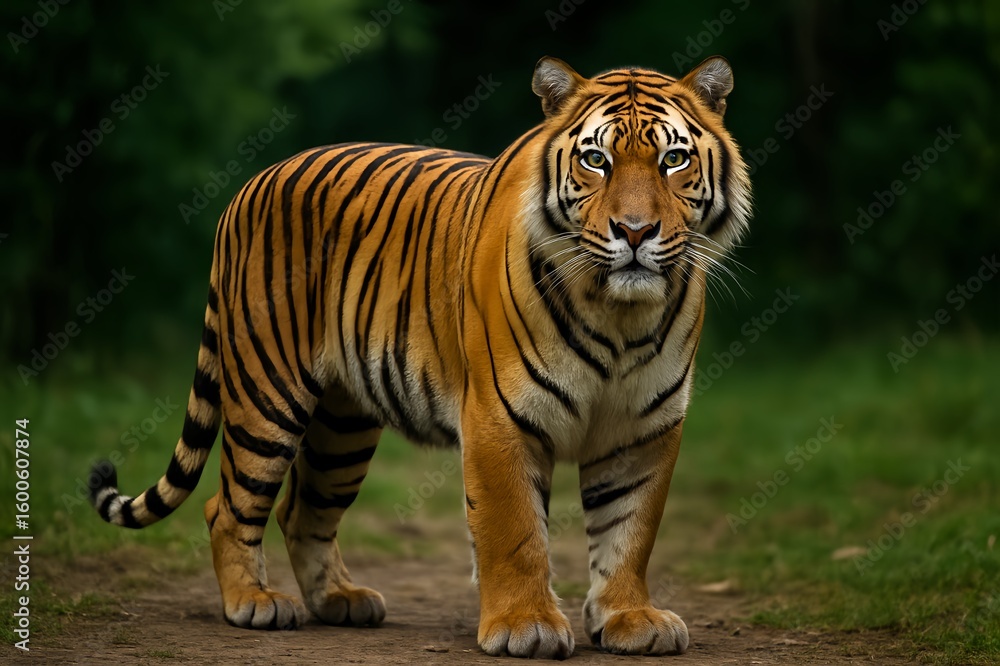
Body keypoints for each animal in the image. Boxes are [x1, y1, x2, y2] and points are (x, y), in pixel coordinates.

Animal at [89, 55, 751, 658]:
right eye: (596, 160)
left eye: (673, 160)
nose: (634, 232)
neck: (620, 315)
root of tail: (253, 182)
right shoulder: (499, 417)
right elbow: (514, 530)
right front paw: (526, 627)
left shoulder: (644, 429)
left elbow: (629, 530)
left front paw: (630, 618)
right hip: (266, 396)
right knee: (226, 507)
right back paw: (253, 603)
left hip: (342, 425)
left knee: (303, 512)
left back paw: (340, 600)